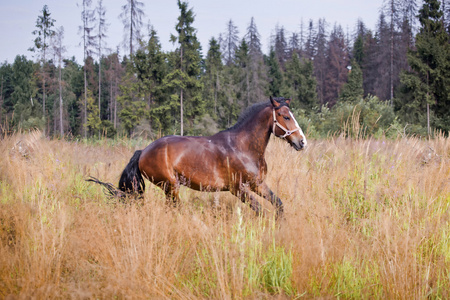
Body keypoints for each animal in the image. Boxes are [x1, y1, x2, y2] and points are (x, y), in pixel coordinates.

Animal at [88, 96, 306, 218]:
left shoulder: (257, 184)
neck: (243, 148)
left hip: (169, 189)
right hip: (171, 186)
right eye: (285, 116)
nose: (302, 142)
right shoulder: (238, 189)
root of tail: (143, 151)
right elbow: (260, 212)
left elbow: (278, 206)